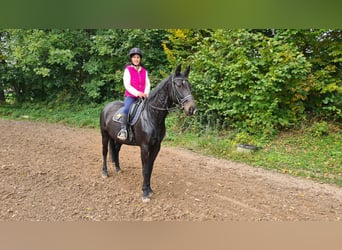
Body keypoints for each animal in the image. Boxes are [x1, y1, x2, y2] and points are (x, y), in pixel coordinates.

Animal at [99, 64, 196, 201]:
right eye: (178, 85)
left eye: (189, 86)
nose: (192, 109)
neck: (151, 115)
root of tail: (106, 107)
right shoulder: (144, 147)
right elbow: (145, 169)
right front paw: (144, 193)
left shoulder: (156, 147)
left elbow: (150, 168)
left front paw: (149, 189)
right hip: (104, 135)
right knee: (105, 152)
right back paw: (104, 172)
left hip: (118, 139)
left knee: (116, 151)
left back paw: (118, 169)